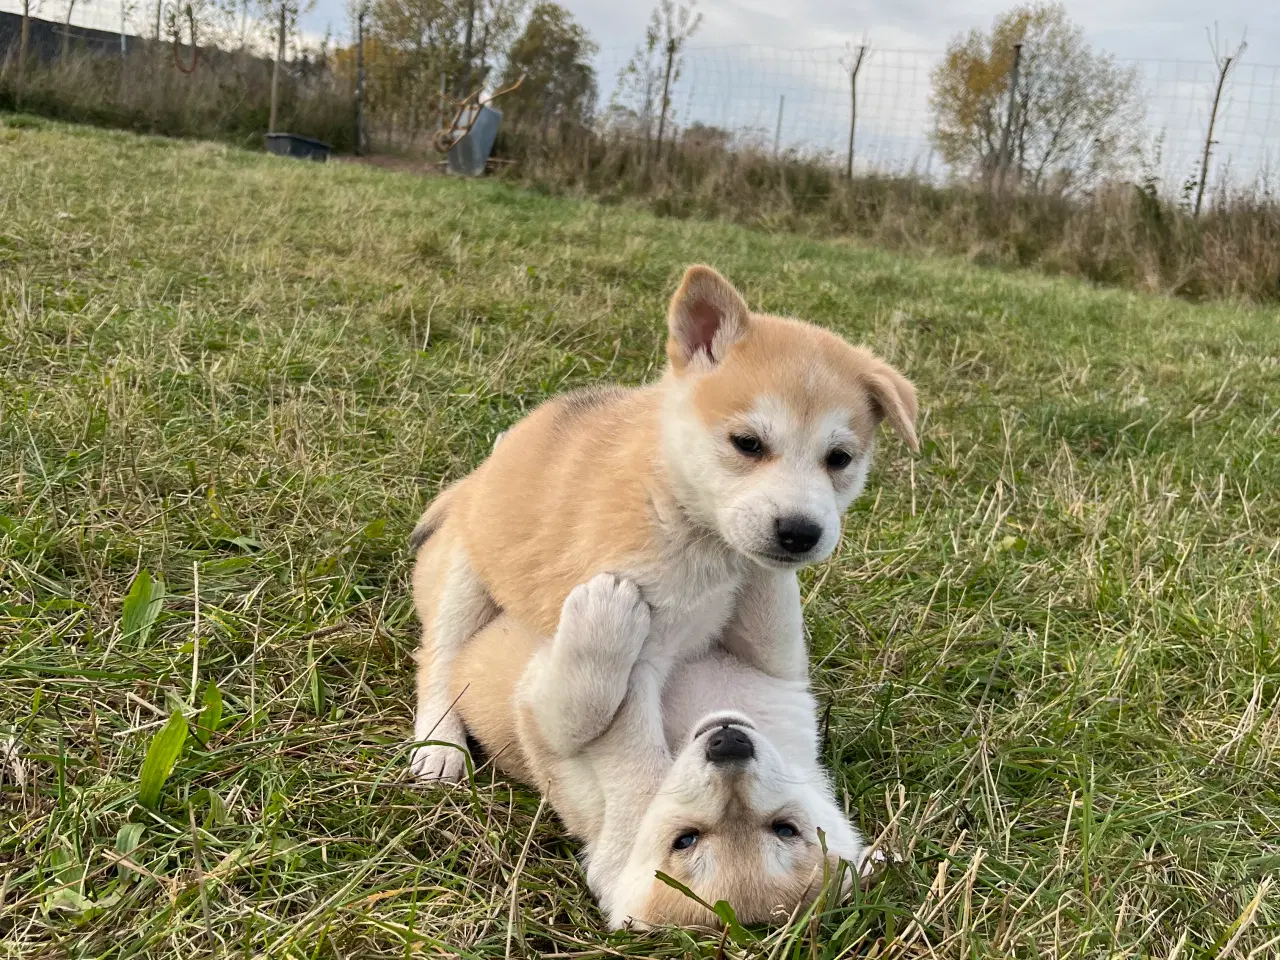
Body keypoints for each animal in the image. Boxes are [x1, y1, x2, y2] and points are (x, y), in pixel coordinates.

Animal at [409, 264, 921, 788]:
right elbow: (637, 761)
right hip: (465, 578)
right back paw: (439, 745)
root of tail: (479, 474)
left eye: (839, 459)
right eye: (747, 443)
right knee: (440, 658)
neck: (682, 516)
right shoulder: (638, 658)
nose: (800, 532)